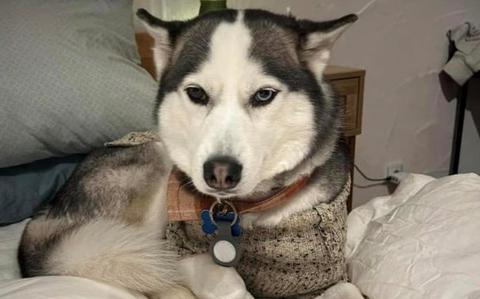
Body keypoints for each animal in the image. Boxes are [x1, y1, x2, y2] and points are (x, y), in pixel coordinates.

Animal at [18, 8, 364, 299]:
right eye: (196, 93)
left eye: (264, 95)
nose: (220, 173)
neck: (248, 211)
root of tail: (47, 210)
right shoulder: (178, 253)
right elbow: (223, 278)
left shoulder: (325, 279)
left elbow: (349, 289)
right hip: (154, 164)